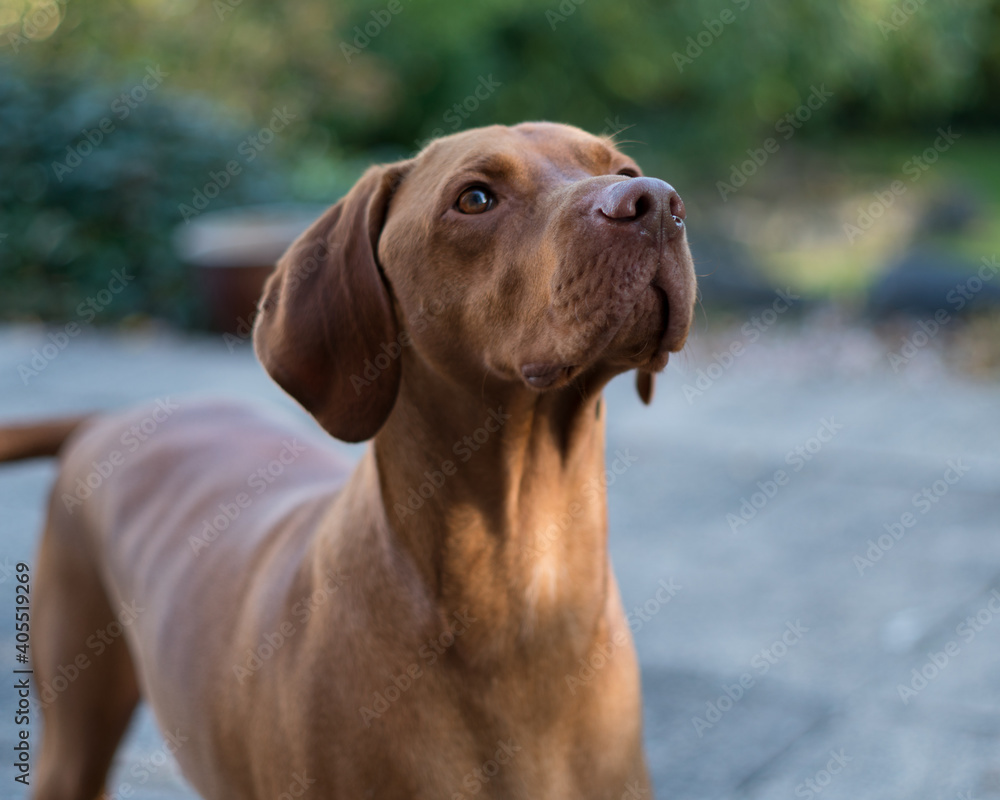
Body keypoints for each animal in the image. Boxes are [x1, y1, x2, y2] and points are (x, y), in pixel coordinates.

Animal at [1, 120, 696, 800]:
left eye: (624, 170)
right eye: (475, 198)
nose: (657, 202)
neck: (525, 592)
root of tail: (108, 418)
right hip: (73, 739)